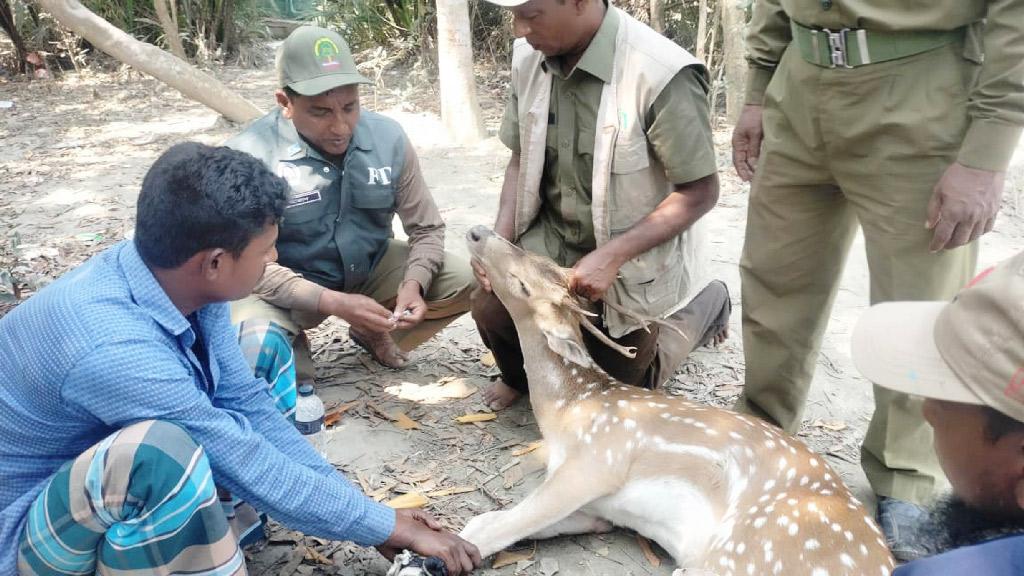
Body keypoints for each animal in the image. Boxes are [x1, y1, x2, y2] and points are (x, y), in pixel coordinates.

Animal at [460, 226, 892, 573]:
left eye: (522, 283)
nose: (477, 231)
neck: (569, 412)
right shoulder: (595, 504)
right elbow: (488, 522)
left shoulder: (598, 460)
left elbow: (486, 530)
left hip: (749, 551)